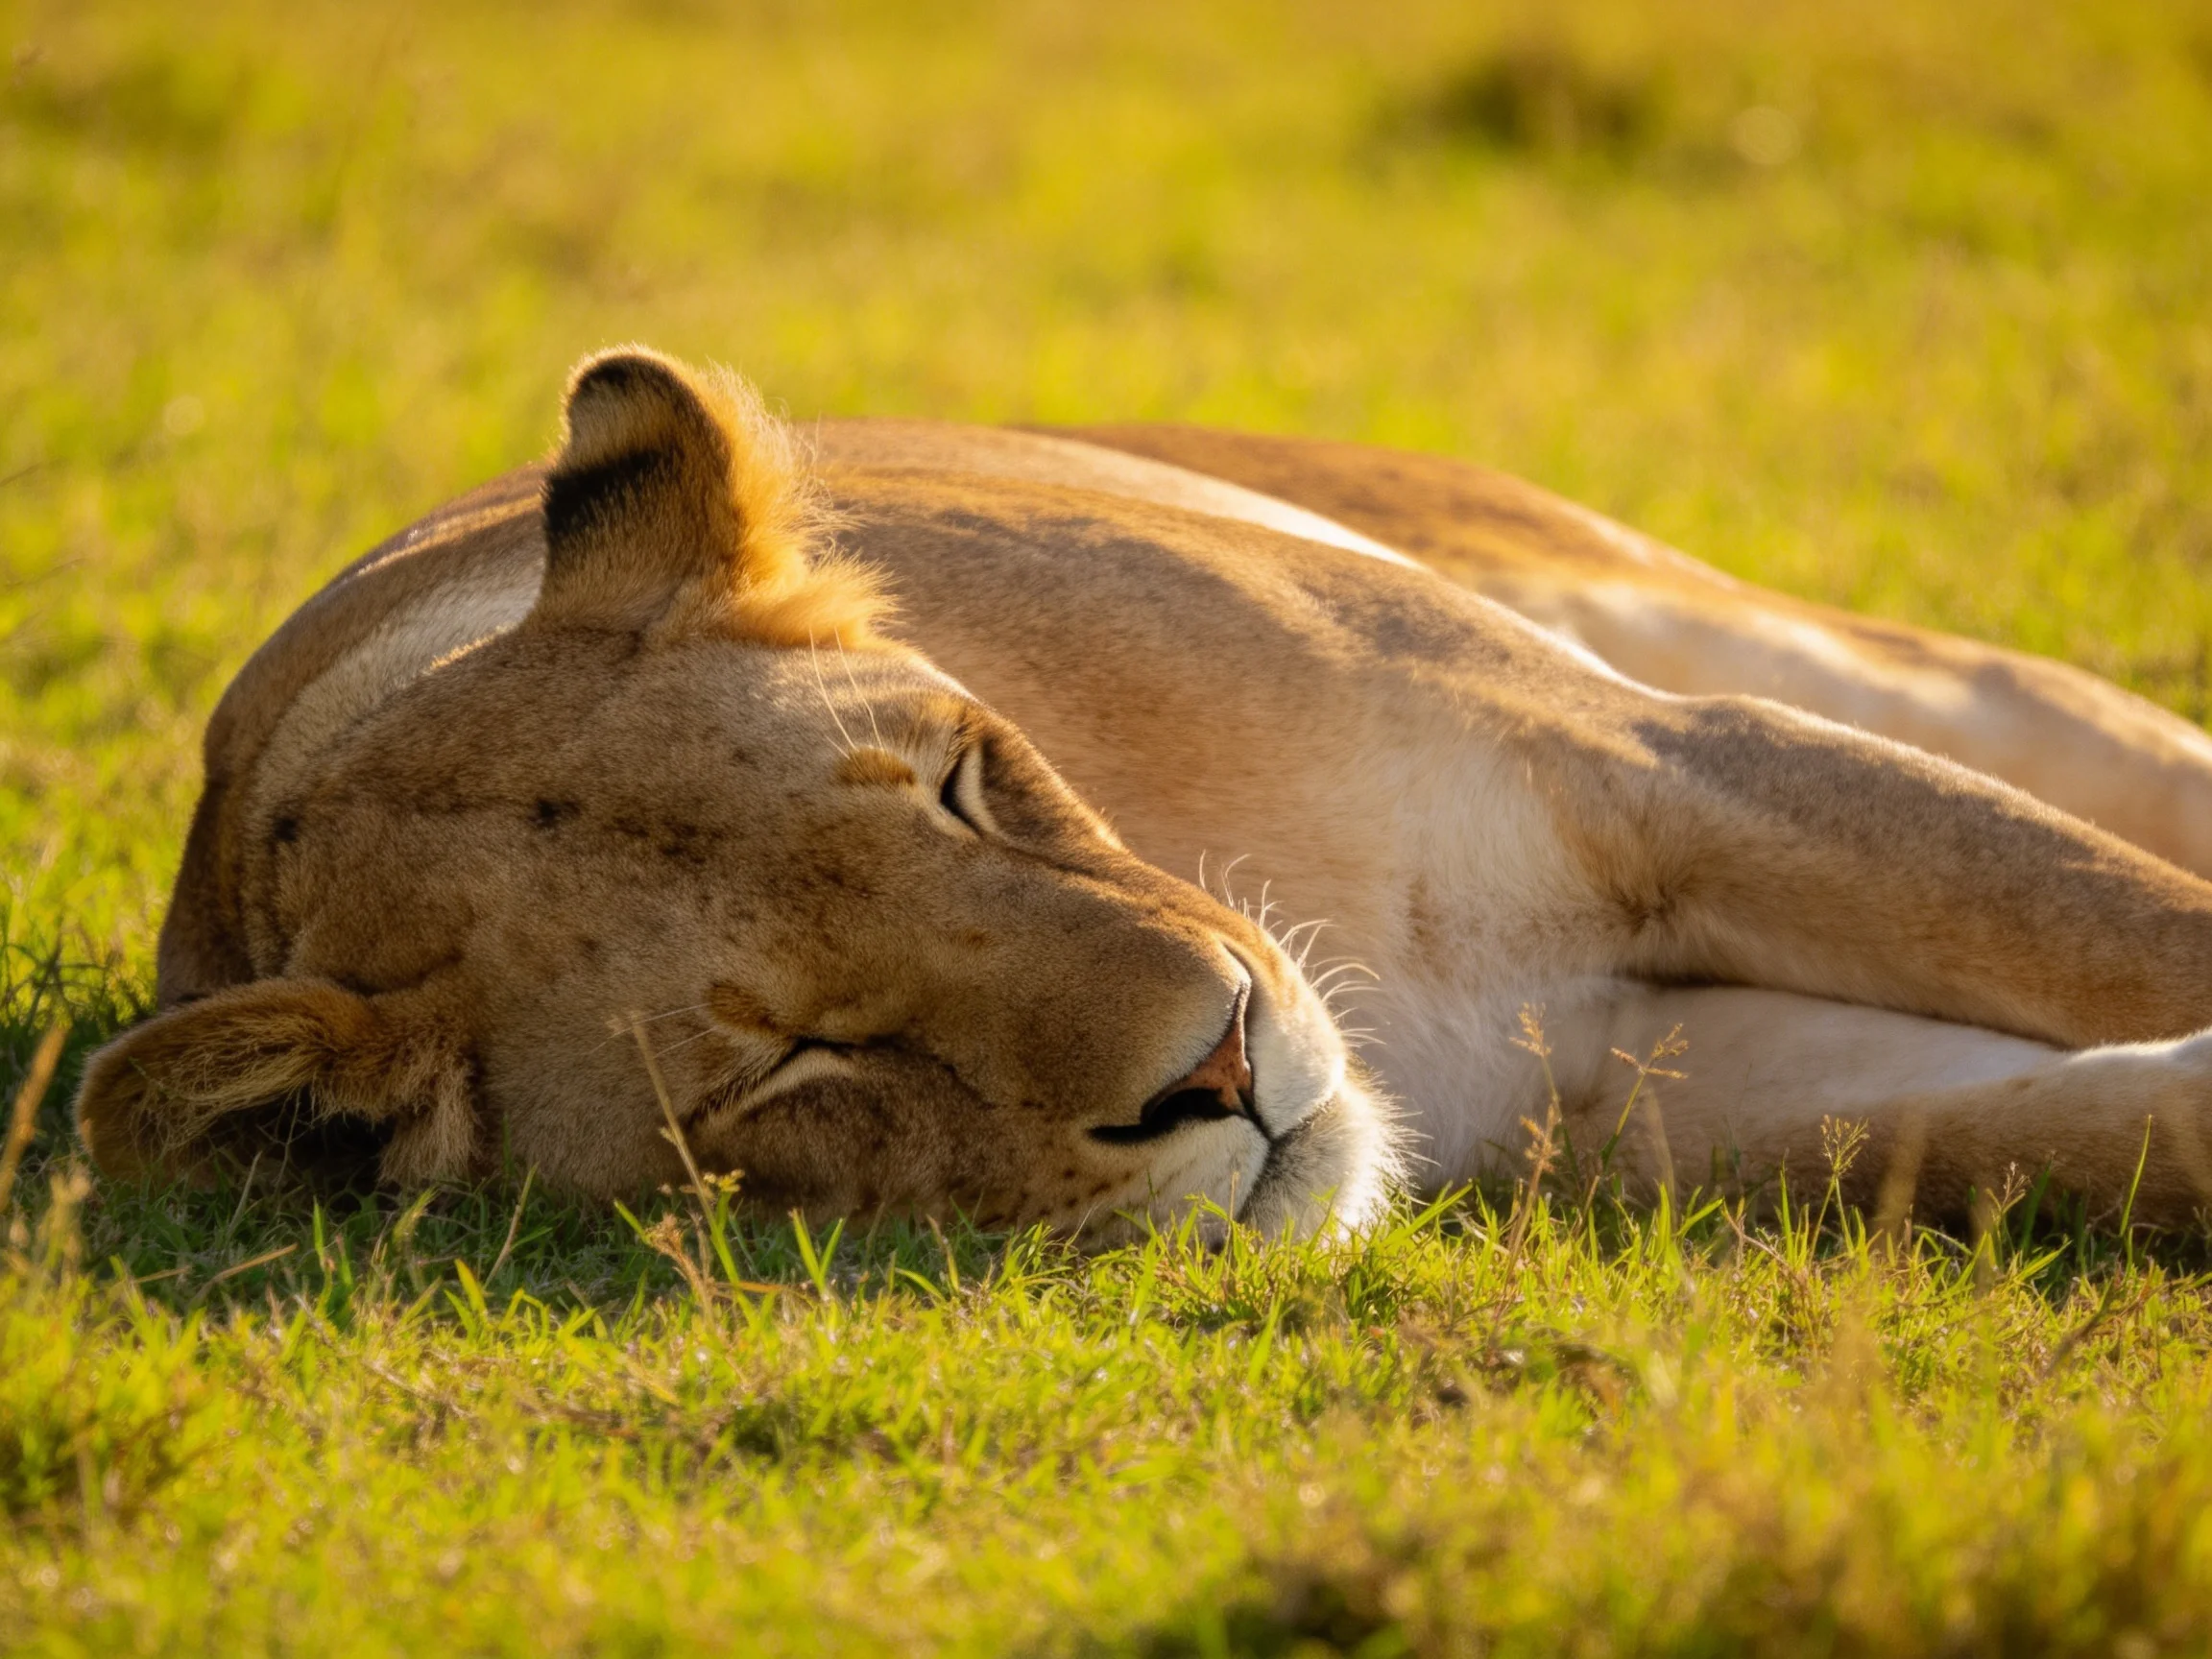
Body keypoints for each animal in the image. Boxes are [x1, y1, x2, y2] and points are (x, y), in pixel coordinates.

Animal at [72, 347, 2212, 1244]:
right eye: (792, 1065)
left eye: (959, 784)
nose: (1228, 1065)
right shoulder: (1631, 1096)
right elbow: (2038, 1147)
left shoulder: (1651, 773)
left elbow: (2124, 930)